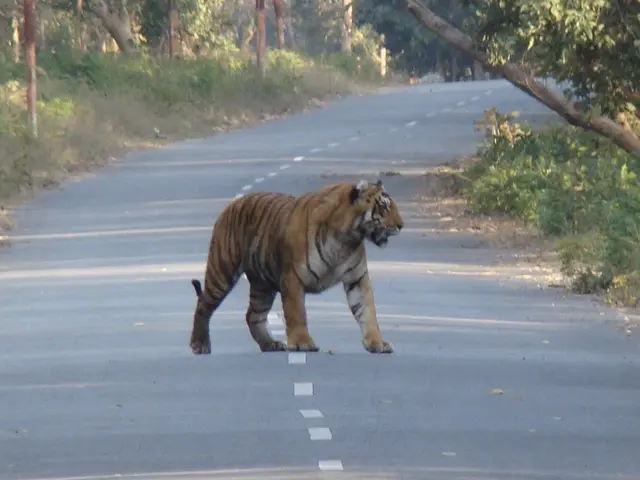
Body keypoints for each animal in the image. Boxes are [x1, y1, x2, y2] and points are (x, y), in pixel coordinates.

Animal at [189, 179, 404, 355]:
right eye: (384, 207)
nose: (401, 225)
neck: (348, 239)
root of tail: (232, 204)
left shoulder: (357, 278)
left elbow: (367, 310)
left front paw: (377, 343)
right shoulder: (293, 277)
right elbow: (296, 312)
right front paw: (302, 343)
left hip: (262, 286)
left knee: (253, 315)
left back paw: (270, 344)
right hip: (222, 271)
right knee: (203, 304)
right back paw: (199, 345)